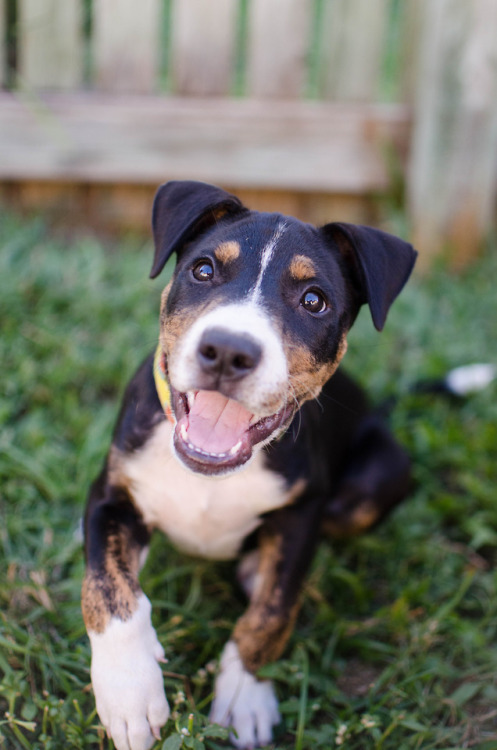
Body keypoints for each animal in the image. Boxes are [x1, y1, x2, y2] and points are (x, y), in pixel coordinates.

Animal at [83, 182, 416, 750]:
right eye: (203, 270)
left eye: (314, 300)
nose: (227, 351)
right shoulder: (111, 493)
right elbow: (108, 588)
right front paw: (130, 692)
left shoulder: (303, 511)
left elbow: (272, 612)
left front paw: (244, 698)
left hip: (373, 483)